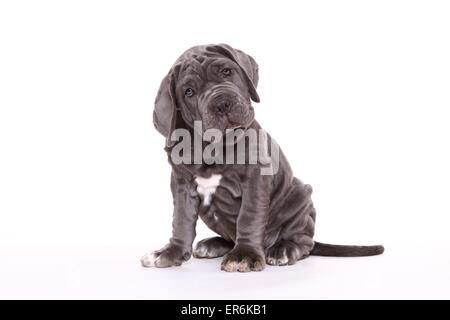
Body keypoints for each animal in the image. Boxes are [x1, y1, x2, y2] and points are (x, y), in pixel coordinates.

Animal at [141, 43, 384, 272]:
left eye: (227, 71)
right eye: (189, 92)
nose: (222, 103)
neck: (212, 147)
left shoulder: (255, 179)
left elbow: (249, 217)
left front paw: (244, 255)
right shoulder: (182, 185)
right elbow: (181, 220)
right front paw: (170, 252)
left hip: (300, 195)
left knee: (305, 241)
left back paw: (283, 249)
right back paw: (213, 244)